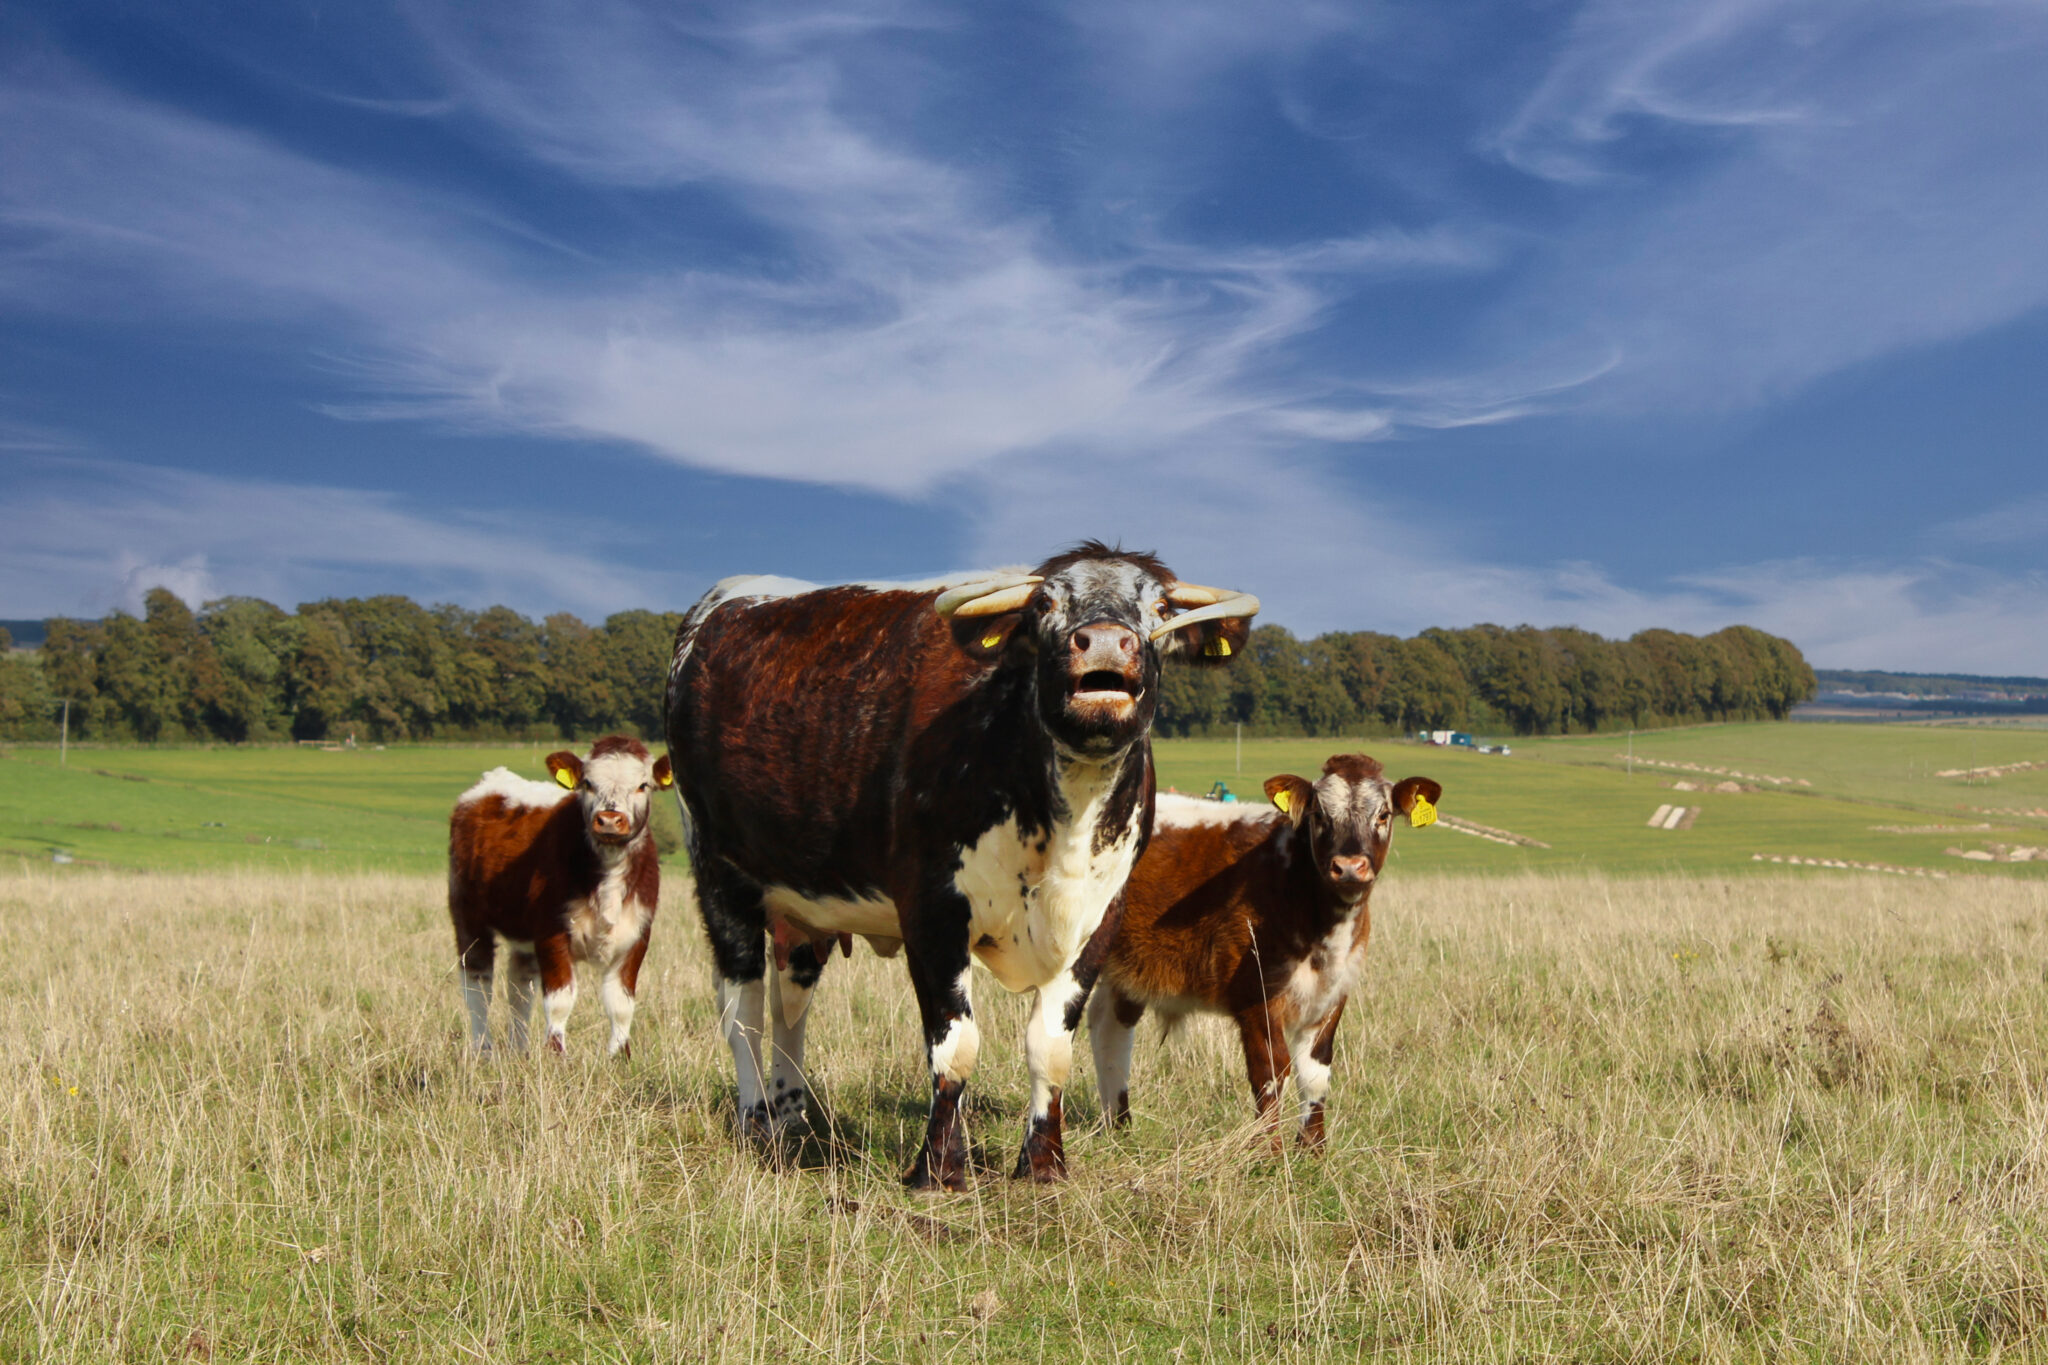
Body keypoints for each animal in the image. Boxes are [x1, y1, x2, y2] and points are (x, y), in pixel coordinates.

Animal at [448, 735, 673, 1058]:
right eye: (588, 783)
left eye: (643, 785)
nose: (609, 820)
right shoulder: (551, 932)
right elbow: (559, 1000)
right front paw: (556, 1055)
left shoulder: (637, 934)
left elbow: (621, 1004)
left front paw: (620, 1057)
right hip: (468, 915)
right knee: (478, 984)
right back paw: (483, 1051)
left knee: (519, 986)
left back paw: (520, 1052)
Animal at [664, 542, 1258, 1189]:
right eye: (1044, 603)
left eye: (1160, 608)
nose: (1104, 641)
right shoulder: (932, 909)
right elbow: (956, 1045)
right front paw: (939, 1168)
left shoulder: (1100, 918)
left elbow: (1051, 1047)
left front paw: (1043, 1164)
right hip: (721, 876)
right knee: (742, 1009)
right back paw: (755, 1124)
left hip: (802, 904)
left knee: (789, 1005)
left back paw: (790, 1114)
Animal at [1087, 754, 1440, 1148]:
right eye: (1319, 814)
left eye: (1383, 814)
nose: (1349, 867)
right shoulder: (1255, 992)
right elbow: (1270, 1069)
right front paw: (1267, 1150)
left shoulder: (1335, 990)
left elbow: (1315, 1070)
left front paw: (1312, 1147)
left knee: (1109, 1028)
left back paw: (1119, 1127)